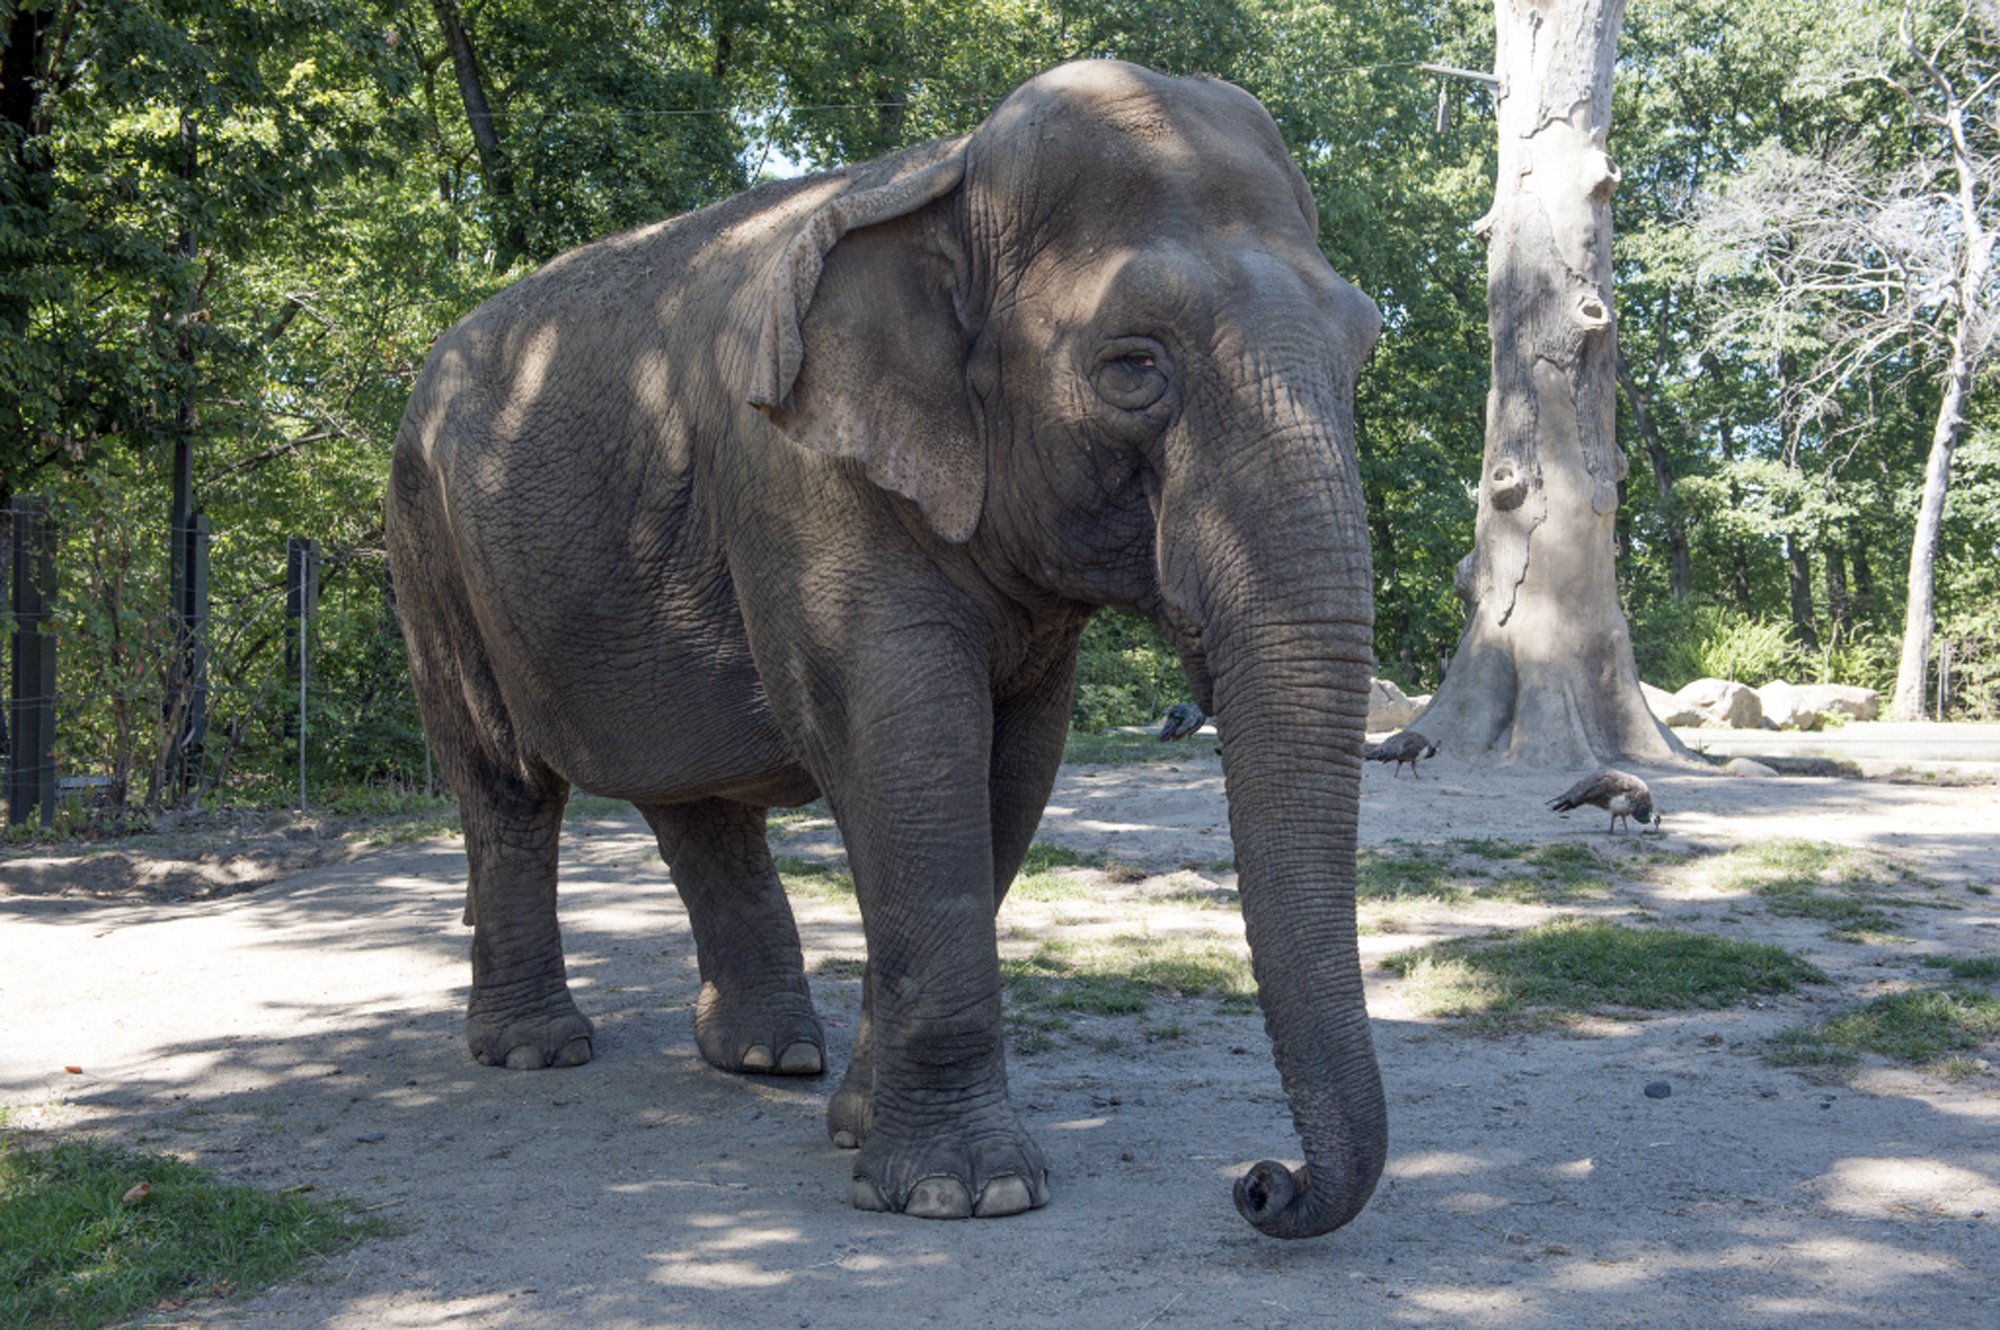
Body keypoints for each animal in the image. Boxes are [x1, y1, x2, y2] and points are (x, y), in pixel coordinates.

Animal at [392, 57, 1392, 1240]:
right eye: (1132, 367)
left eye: (1362, 351)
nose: (1261, 1183)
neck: (947, 176)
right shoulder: (801, 479)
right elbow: (904, 746)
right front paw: (968, 1193)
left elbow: (1010, 770)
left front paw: (865, 1129)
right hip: (426, 540)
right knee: (504, 783)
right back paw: (537, 1051)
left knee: (692, 802)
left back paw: (770, 1057)